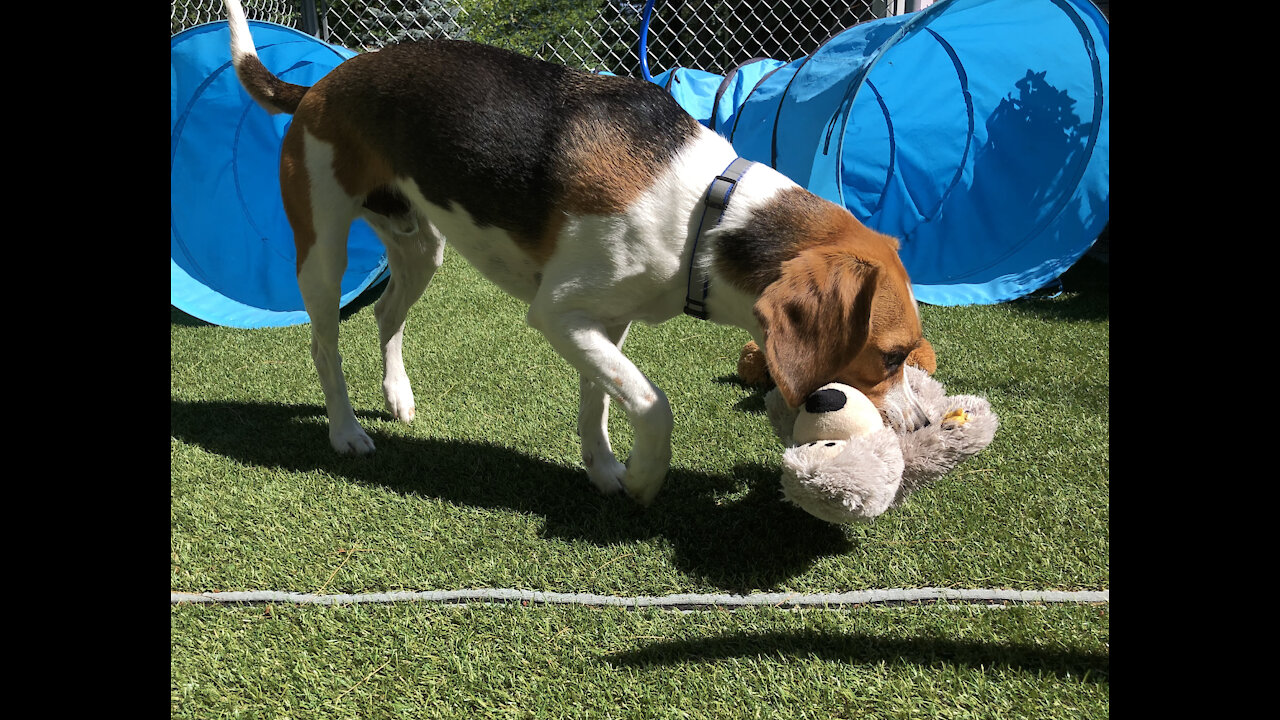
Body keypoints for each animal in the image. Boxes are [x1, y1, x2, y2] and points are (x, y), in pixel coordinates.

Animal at [227, 1, 931, 504]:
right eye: (892, 356)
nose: (924, 426)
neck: (709, 213)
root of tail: (317, 86)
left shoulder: (606, 321)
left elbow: (602, 398)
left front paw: (604, 469)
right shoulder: (559, 313)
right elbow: (652, 404)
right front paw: (644, 478)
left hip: (419, 245)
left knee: (384, 313)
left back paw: (397, 396)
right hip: (323, 251)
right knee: (324, 343)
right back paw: (346, 431)